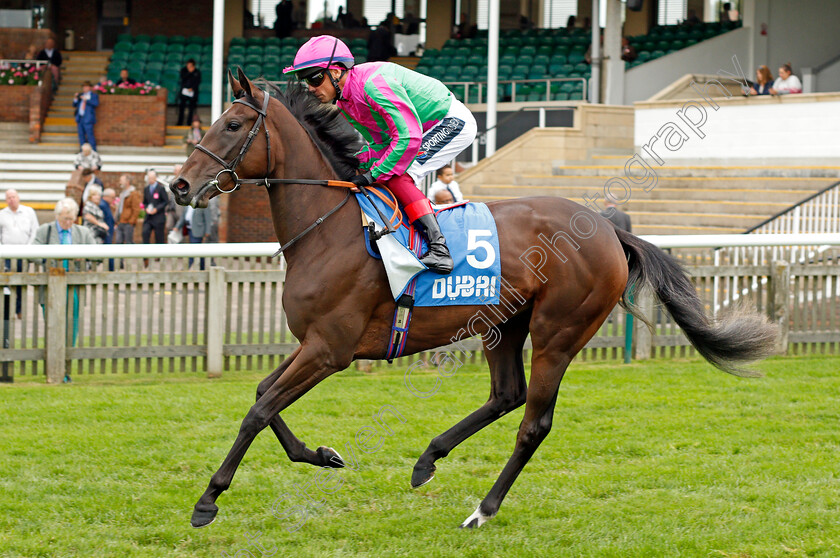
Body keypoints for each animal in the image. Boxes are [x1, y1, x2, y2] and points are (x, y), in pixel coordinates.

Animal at [171, 72, 780, 532]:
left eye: (232, 125)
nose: (178, 186)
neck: (331, 228)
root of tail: (610, 230)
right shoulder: (313, 345)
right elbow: (262, 394)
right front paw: (322, 456)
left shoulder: (330, 349)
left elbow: (258, 410)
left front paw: (208, 500)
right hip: (503, 323)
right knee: (506, 394)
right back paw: (427, 460)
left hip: (559, 332)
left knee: (533, 422)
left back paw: (482, 510)